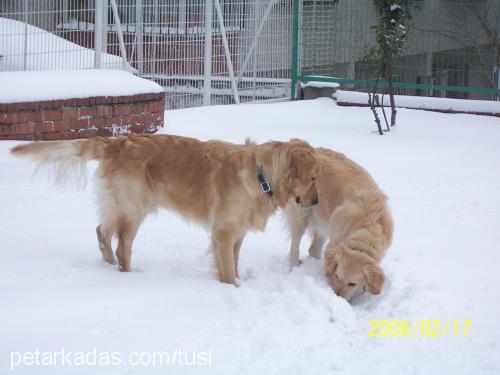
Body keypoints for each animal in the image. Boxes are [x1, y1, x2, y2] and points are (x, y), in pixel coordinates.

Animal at [10, 135, 320, 284]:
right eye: (314, 177)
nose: (317, 201)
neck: (259, 175)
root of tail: (117, 141)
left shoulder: (237, 234)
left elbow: (233, 262)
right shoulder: (223, 233)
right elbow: (229, 270)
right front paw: (234, 287)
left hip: (120, 206)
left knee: (101, 230)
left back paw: (107, 263)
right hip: (134, 209)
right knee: (123, 245)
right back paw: (128, 275)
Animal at [284, 148, 392, 302]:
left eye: (352, 284)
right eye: (337, 276)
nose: (337, 297)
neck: (365, 231)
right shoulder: (334, 243)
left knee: (313, 250)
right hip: (301, 215)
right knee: (294, 249)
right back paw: (294, 267)